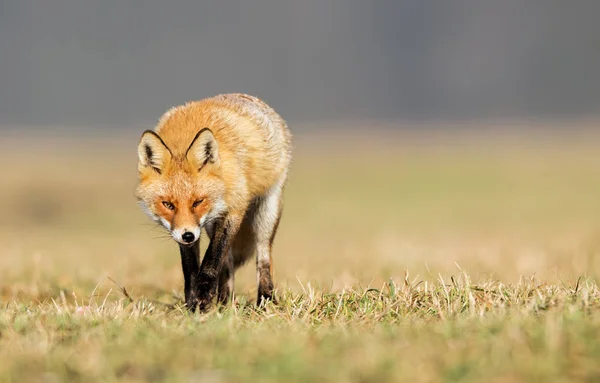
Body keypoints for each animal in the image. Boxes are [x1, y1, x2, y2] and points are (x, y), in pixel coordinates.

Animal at [137, 93, 296, 312]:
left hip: (266, 212)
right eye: (168, 204)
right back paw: (224, 301)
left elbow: (212, 259)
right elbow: (191, 268)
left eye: (198, 202)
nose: (188, 235)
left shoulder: (233, 211)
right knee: (228, 264)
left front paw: (203, 297)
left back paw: (265, 300)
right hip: (212, 225)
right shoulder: (188, 229)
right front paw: (193, 303)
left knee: (263, 259)